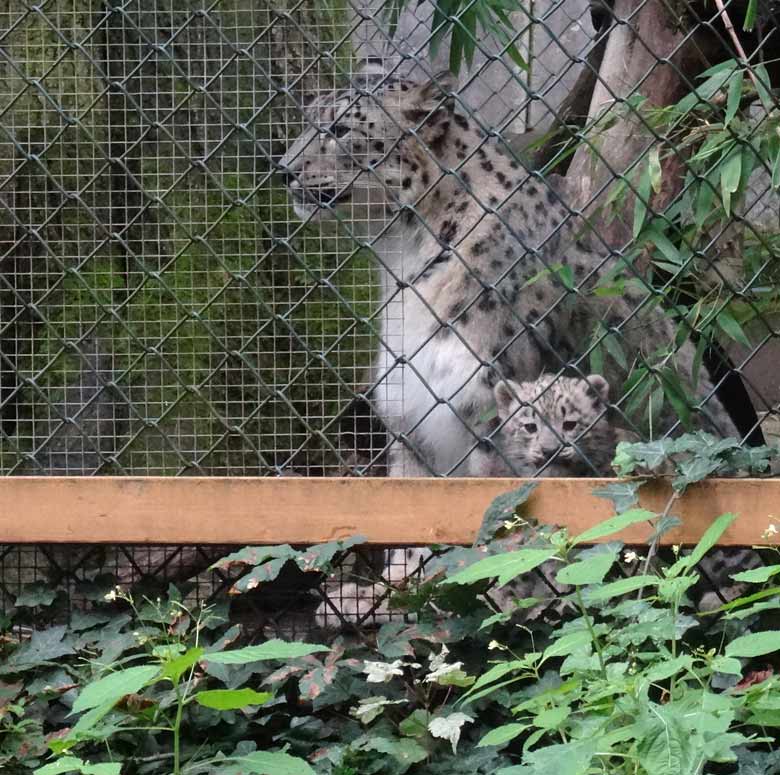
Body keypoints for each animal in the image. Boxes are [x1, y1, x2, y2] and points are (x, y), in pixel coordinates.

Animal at [280, 68, 736, 478]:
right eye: (306, 121)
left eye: (339, 128)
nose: (283, 169)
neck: (401, 260)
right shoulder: (408, 421)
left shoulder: (486, 410)